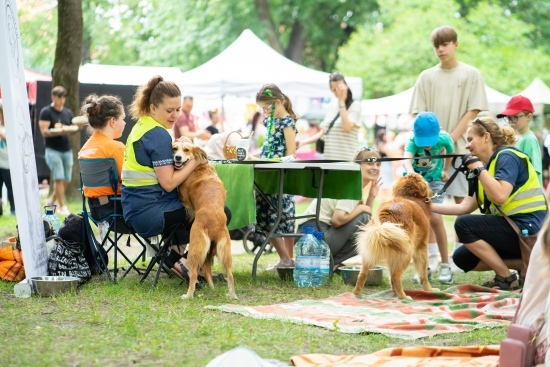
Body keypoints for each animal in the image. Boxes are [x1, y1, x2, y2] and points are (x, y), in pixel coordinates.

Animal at [174, 141, 236, 300]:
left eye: (186, 150)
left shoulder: (183, 196)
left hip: (195, 250)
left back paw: (188, 295)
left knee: (194, 274)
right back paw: (229, 294)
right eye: (174, 148)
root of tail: (213, 224)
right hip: (223, 251)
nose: (177, 157)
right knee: (228, 274)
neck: (200, 167)